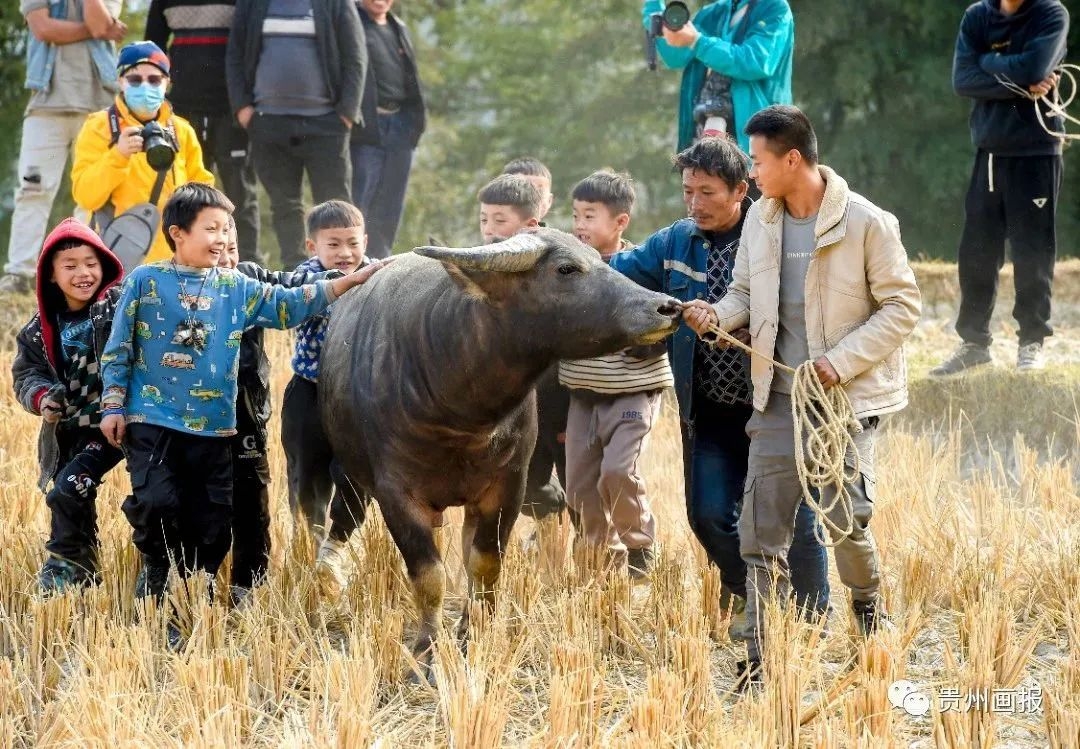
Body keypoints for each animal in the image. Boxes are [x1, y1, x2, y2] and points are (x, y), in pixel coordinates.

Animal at [315, 229, 678, 682]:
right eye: (566, 268)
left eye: (598, 257)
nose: (666, 307)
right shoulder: (396, 495)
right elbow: (429, 576)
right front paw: (425, 653)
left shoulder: (507, 485)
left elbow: (485, 564)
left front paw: (476, 634)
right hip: (350, 475)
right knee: (344, 516)